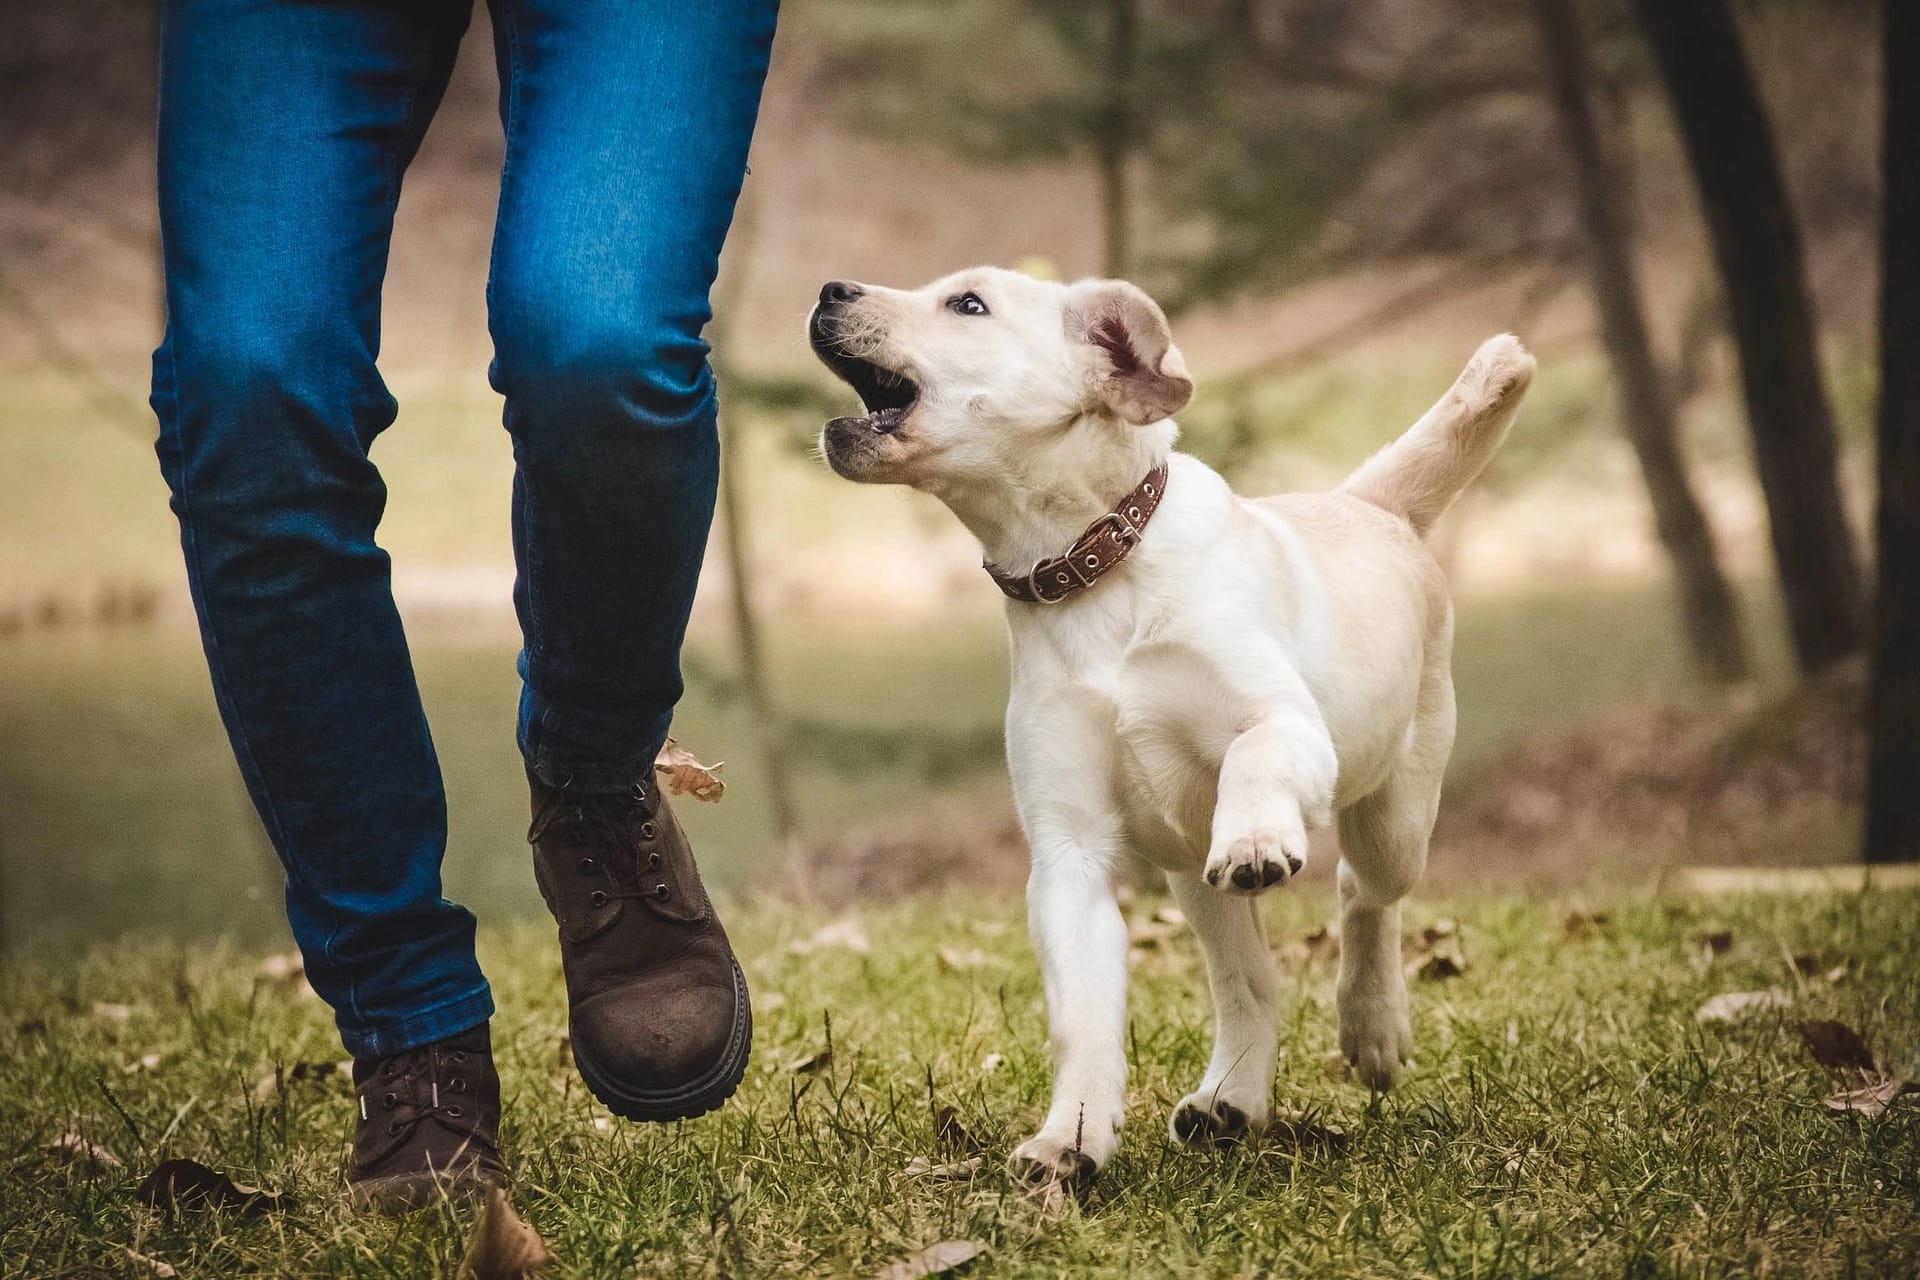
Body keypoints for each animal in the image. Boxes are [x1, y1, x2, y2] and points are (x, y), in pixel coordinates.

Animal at [802, 270, 1536, 1189]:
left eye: (967, 304)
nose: (830, 288)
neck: (1094, 571)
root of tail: (1367, 503)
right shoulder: (1068, 855)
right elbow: (1083, 1018)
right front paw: (1069, 1143)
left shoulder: (1291, 725)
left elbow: (1255, 750)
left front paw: (1256, 836)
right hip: (1195, 881)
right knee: (1252, 982)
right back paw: (1231, 1100)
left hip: (1394, 816)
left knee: (1362, 894)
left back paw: (1370, 1027)